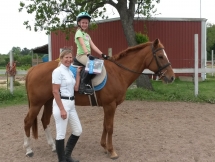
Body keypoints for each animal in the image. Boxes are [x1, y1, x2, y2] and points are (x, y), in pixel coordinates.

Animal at [23, 38, 175, 159]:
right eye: (160, 56)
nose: (171, 77)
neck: (118, 73)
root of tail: (33, 69)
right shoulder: (110, 105)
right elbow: (110, 127)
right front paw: (112, 151)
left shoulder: (108, 106)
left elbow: (105, 125)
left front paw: (104, 146)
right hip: (37, 103)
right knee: (27, 122)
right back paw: (29, 150)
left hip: (48, 101)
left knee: (44, 120)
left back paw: (53, 147)